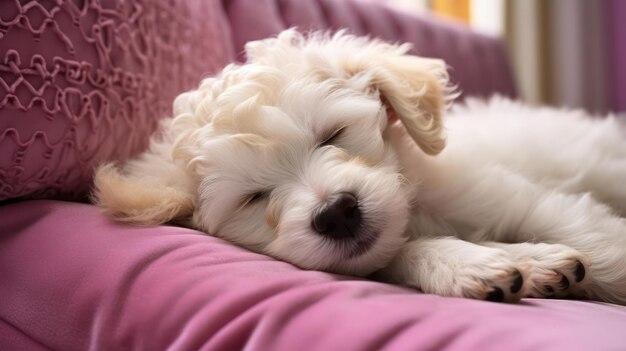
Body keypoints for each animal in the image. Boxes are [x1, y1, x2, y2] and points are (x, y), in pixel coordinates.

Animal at [91, 29, 624, 306]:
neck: (417, 205)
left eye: (332, 135)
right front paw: (496, 264)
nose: (336, 212)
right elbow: (399, 253)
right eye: (252, 197)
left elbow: (595, 240)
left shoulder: (520, 198)